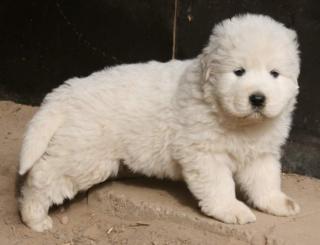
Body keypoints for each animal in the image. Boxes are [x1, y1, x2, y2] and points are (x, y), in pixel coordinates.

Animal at [19, 13, 300, 232]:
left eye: (274, 73)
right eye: (238, 71)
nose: (258, 98)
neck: (239, 123)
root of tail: (68, 91)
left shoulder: (261, 153)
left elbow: (265, 181)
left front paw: (278, 203)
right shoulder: (204, 153)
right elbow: (220, 185)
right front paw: (231, 210)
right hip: (84, 155)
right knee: (43, 176)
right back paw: (34, 217)